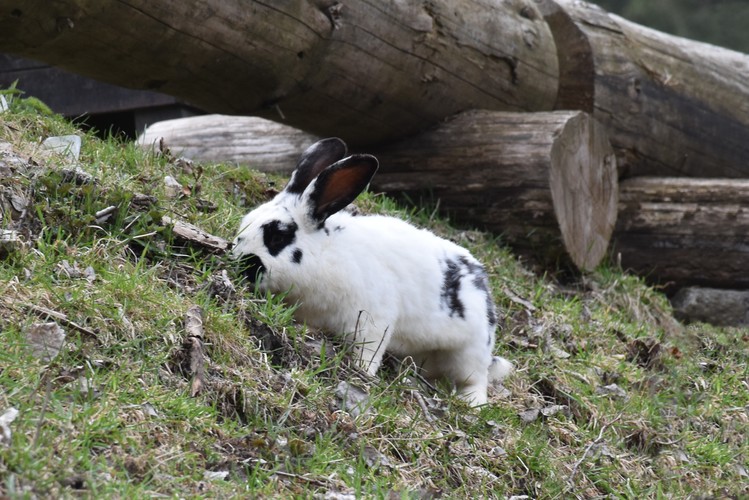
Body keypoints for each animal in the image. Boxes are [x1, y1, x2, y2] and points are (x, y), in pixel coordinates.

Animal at [232, 137, 516, 406]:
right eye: (243, 227)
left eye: (277, 237)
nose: (242, 265)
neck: (326, 255)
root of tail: (484, 289)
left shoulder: (372, 321)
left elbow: (367, 353)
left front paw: (363, 375)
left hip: (469, 353)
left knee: (475, 380)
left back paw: (471, 402)